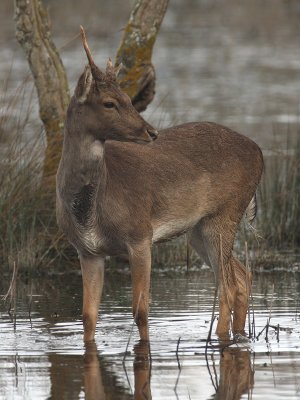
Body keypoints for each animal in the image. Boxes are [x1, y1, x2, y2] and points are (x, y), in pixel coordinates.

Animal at [55, 26, 262, 342]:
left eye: (130, 99)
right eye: (109, 102)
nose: (150, 131)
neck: (91, 209)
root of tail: (260, 154)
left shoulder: (140, 235)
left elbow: (140, 310)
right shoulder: (87, 251)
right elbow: (88, 317)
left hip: (225, 213)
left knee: (227, 285)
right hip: (199, 229)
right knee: (241, 277)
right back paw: (238, 335)